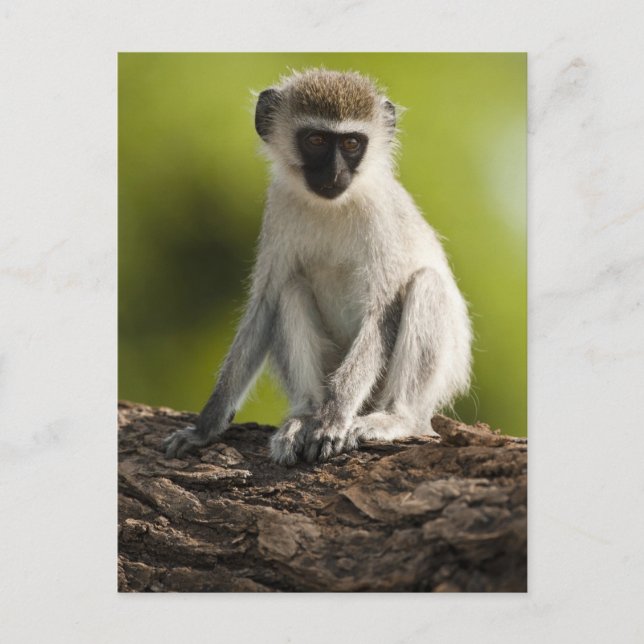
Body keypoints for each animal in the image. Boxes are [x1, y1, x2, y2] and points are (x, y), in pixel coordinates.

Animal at [164, 69, 472, 465]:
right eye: (316, 140)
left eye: (352, 144)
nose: (335, 173)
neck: (333, 206)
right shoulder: (279, 207)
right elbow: (265, 305)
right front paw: (206, 426)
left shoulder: (381, 216)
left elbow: (381, 314)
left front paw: (333, 419)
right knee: (290, 290)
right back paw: (306, 415)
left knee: (428, 285)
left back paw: (394, 418)